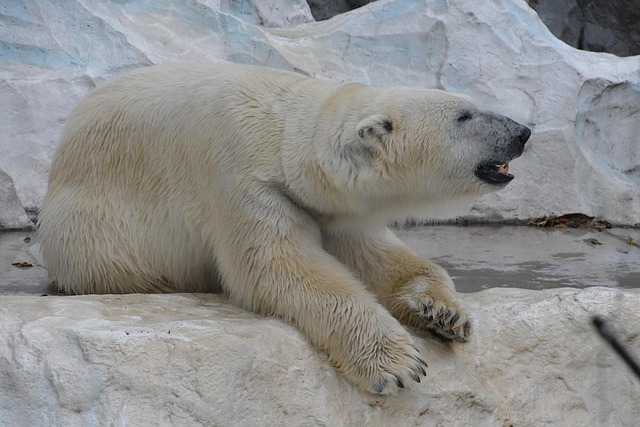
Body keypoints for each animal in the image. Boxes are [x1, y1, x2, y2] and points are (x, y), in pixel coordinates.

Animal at [38, 63, 530, 395]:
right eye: (464, 116)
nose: (522, 131)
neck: (282, 136)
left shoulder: (332, 209)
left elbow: (374, 253)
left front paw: (444, 312)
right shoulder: (243, 180)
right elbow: (277, 266)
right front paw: (395, 362)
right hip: (91, 225)